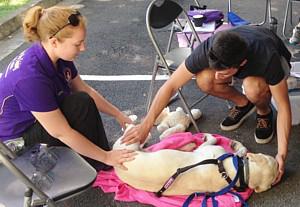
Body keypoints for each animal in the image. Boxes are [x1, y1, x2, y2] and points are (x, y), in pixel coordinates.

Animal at [113, 128, 278, 196]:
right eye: (274, 161)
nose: (279, 162)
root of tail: (115, 163)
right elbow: (236, 150)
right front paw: (237, 147)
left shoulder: (207, 150)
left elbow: (216, 142)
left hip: (128, 145)